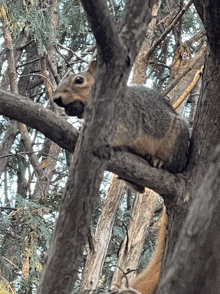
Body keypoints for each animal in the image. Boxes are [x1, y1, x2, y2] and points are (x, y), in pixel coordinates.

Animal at [52, 60, 189, 294]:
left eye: (79, 80)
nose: (56, 99)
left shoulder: (127, 117)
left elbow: (123, 134)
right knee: (140, 186)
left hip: (175, 142)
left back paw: (158, 161)